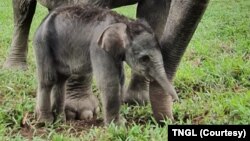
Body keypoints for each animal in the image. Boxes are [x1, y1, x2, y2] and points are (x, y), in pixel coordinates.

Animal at [33, 4, 178, 125]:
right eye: (144, 59)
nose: (176, 100)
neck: (125, 22)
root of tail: (43, 21)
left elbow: (120, 80)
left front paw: (121, 122)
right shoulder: (98, 48)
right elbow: (109, 81)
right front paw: (116, 126)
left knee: (61, 80)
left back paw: (60, 120)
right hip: (43, 43)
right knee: (48, 79)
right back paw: (46, 121)